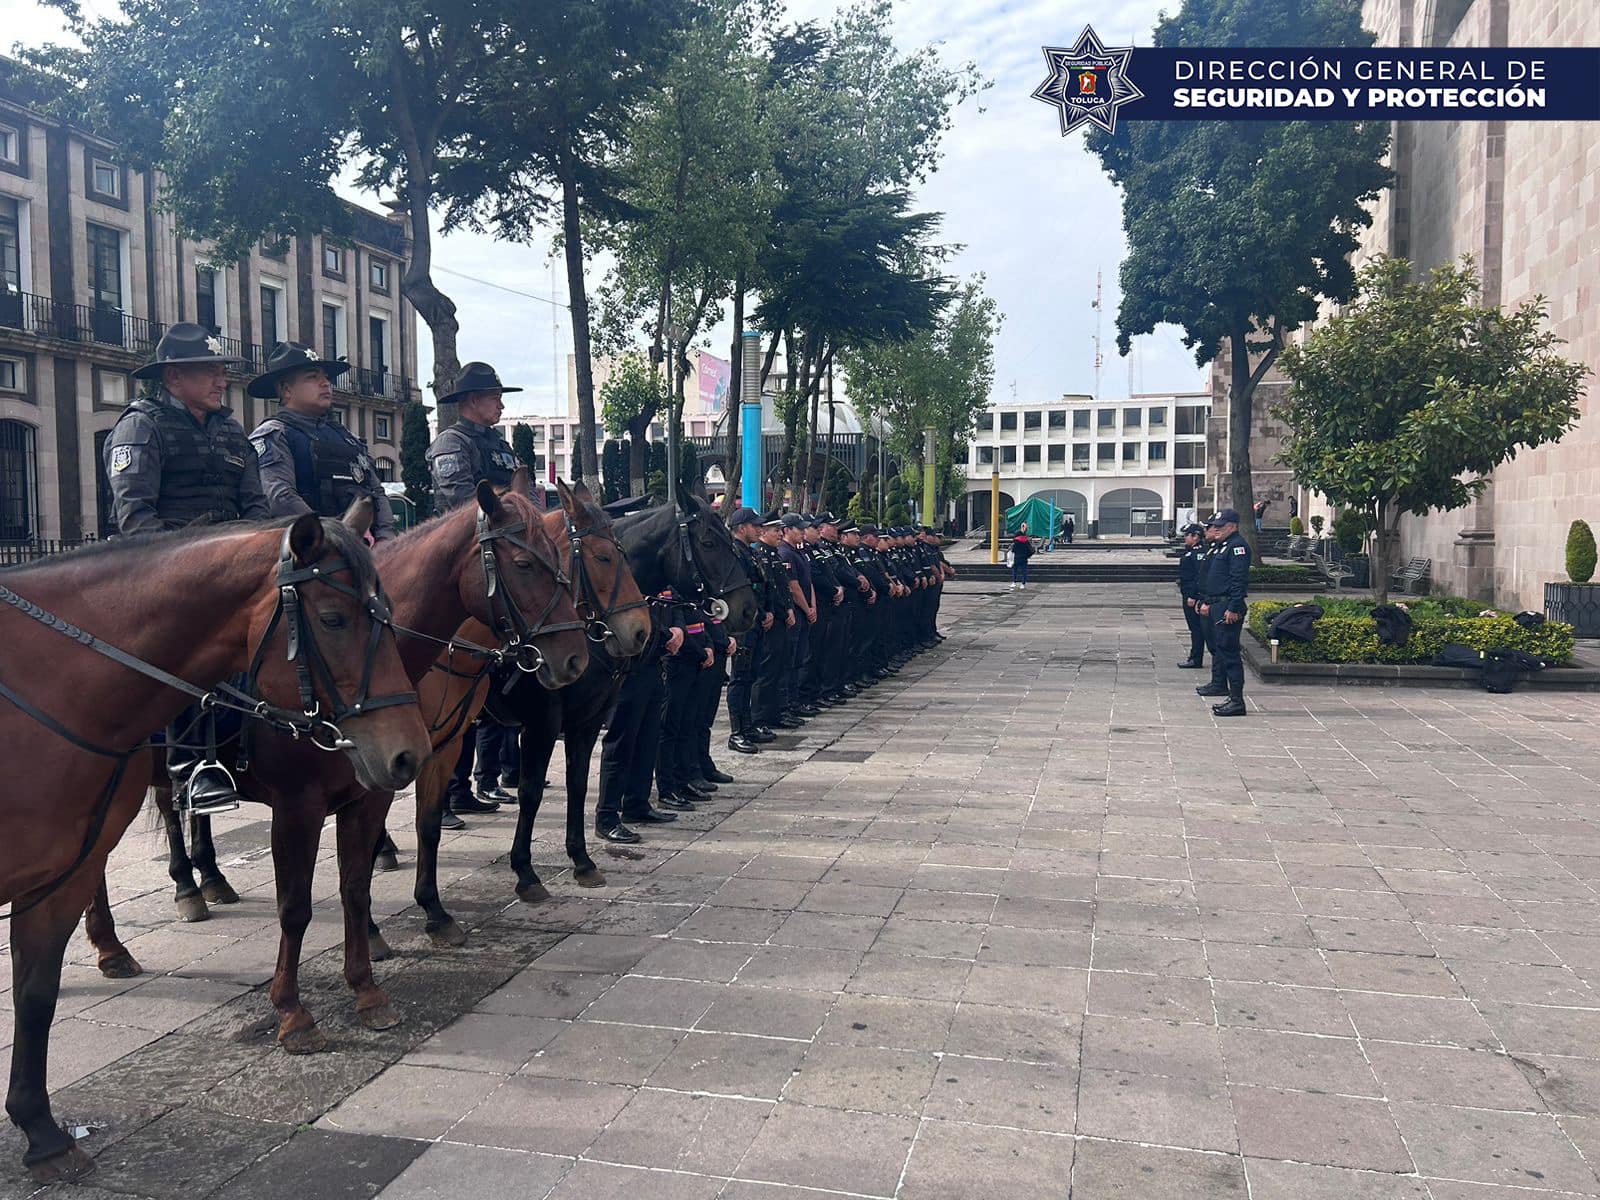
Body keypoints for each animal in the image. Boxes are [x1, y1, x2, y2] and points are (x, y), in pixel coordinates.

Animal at [1, 508, 432, 1184]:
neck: (47, 682)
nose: (408, 752)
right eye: (333, 618)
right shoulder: (299, 808)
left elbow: (36, 989)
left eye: (387, 612)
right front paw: (294, 1016)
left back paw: (127, 936)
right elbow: (296, 908)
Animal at [75, 483, 588, 1056]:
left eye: (562, 563)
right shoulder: (298, 806)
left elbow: (357, 884)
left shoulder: (374, 793)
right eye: (524, 563)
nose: (575, 658)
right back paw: (135, 927)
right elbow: (295, 906)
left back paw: (186, 896)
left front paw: (367, 988)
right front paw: (293, 1013)